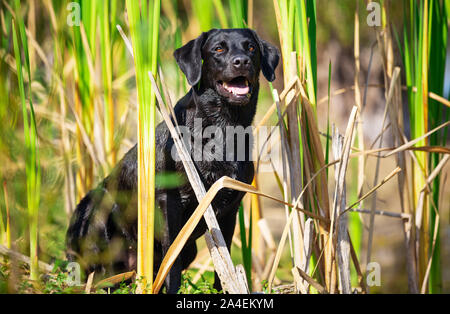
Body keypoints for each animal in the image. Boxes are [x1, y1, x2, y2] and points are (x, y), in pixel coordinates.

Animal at [66, 28, 278, 294]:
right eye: (218, 49)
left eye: (251, 48)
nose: (241, 61)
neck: (222, 129)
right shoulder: (169, 203)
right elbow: (172, 262)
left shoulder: (230, 207)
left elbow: (225, 260)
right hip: (97, 213)